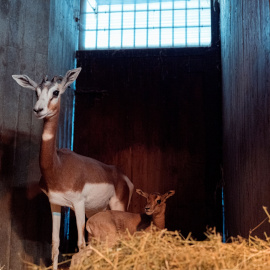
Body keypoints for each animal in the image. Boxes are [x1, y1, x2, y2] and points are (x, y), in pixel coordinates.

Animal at [11, 68, 134, 270]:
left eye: (56, 92)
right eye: (36, 92)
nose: (38, 110)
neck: (58, 166)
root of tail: (124, 178)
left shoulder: (78, 204)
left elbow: (80, 244)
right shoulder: (55, 203)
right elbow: (55, 244)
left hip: (118, 206)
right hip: (96, 211)